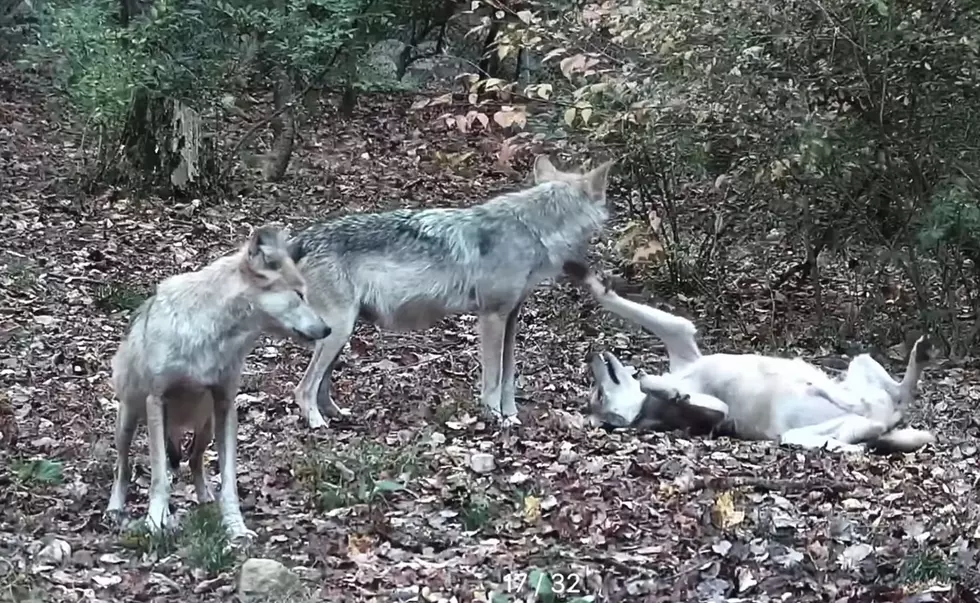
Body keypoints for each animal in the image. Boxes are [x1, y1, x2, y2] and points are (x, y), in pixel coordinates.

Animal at [106, 225, 332, 536]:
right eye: (299, 294)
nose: (328, 329)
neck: (213, 336)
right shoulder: (156, 400)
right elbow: (159, 478)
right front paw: (155, 521)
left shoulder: (225, 403)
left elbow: (228, 482)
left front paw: (236, 528)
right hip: (128, 421)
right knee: (123, 467)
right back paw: (115, 508)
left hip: (207, 428)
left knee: (194, 460)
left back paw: (204, 499)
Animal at [288, 156, 616, 430]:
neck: (533, 230)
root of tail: (302, 238)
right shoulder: (491, 317)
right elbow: (493, 379)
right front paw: (495, 419)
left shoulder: (510, 317)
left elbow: (509, 377)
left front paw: (511, 417)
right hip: (338, 331)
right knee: (303, 388)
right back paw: (317, 424)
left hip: (342, 333)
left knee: (321, 386)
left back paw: (338, 415)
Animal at [568, 262, 940, 456]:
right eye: (597, 395)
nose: (592, 356)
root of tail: (883, 419)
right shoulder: (715, 414)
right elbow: (671, 391)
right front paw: (666, 389)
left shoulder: (681, 337)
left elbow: (615, 302)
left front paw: (590, 281)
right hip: (803, 433)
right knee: (854, 434)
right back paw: (852, 446)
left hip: (861, 363)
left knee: (901, 393)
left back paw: (919, 356)